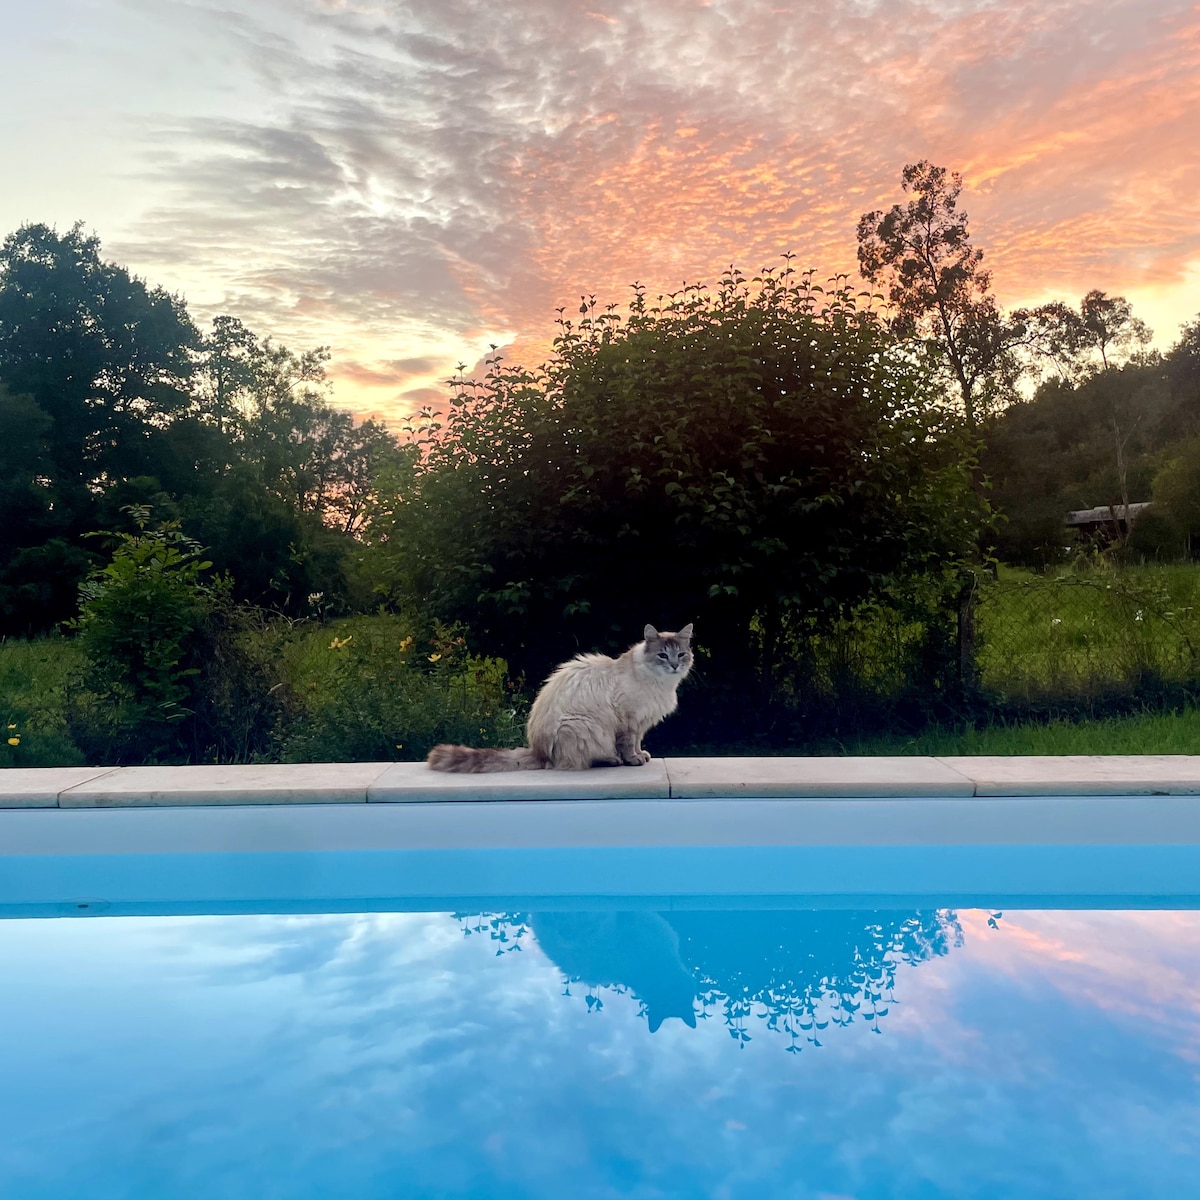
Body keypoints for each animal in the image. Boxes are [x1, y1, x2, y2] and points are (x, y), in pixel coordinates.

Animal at [427, 623, 693, 772]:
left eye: (681, 654)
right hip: (583, 727)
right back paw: (611, 760)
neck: (661, 683)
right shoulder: (629, 721)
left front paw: (641, 755)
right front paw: (634, 760)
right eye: (662, 655)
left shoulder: (640, 722)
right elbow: (628, 746)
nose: (674, 665)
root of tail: (537, 751)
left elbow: (637, 743)